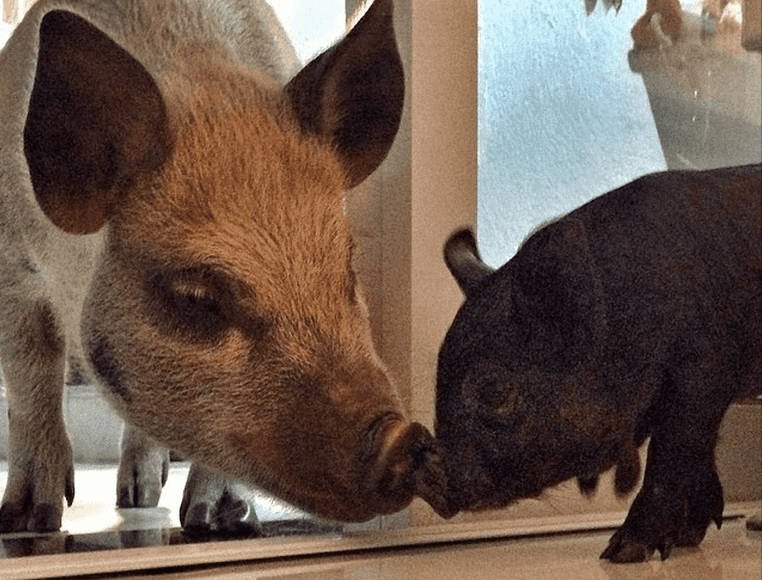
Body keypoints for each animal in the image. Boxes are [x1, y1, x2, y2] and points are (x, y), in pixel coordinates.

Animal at [0, 0, 432, 535]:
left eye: (347, 270)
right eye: (196, 298)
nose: (403, 439)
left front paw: (217, 523)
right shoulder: (11, 265)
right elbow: (31, 377)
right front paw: (29, 524)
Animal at [414, 164, 761, 563]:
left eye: (492, 389)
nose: (424, 466)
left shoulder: (702, 373)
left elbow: (671, 455)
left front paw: (620, 553)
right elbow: (700, 460)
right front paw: (687, 538)